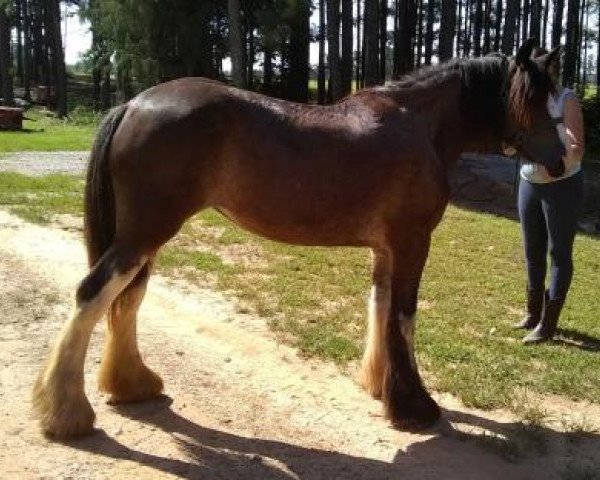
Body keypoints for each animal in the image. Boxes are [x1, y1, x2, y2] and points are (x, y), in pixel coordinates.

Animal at [32, 40, 568, 438]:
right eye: (532, 99)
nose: (562, 158)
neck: (418, 126)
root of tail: (134, 103)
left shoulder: (385, 249)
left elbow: (379, 307)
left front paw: (379, 386)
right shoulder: (412, 243)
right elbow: (404, 317)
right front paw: (414, 406)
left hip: (145, 236)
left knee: (127, 297)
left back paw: (131, 386)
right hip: (145, 232)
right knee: (94, 293)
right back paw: (67, 414)